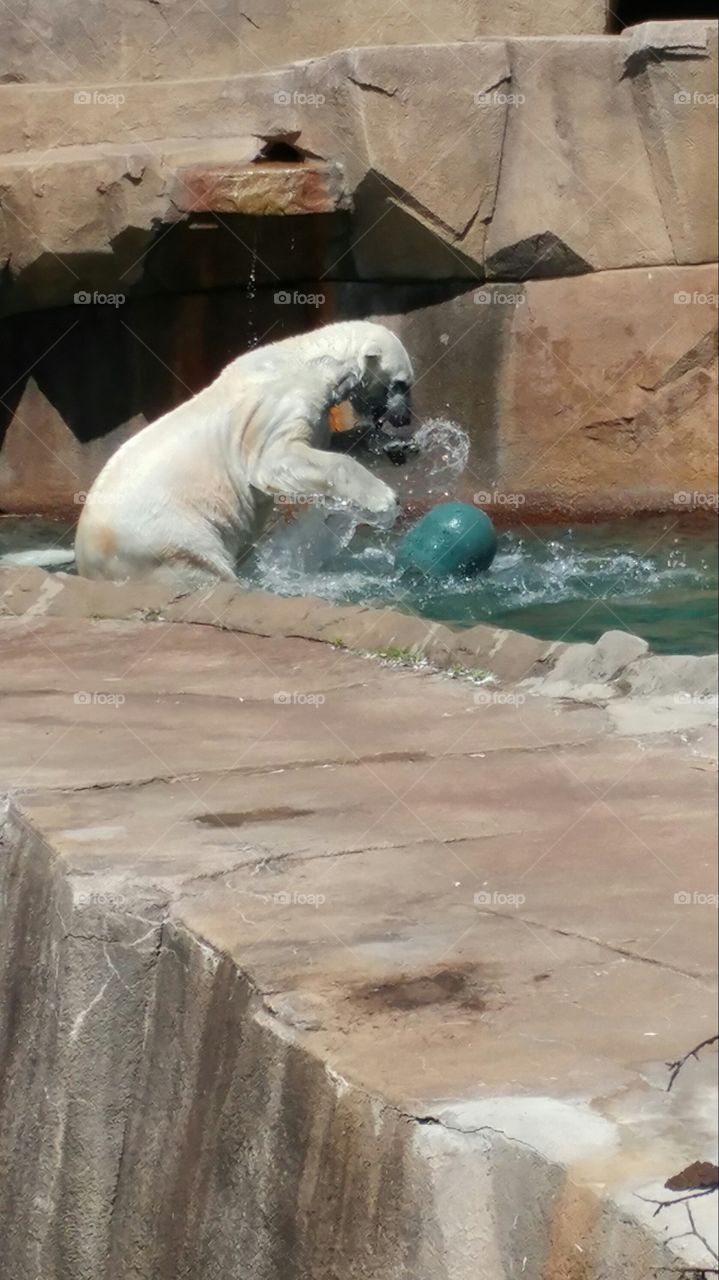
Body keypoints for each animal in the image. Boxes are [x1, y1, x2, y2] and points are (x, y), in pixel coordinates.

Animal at [74, 320, 414, 591]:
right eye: (402, 384)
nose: (405, 419)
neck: (302, 358)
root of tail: (87, 562)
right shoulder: (279, 404)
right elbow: (277, 460)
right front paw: (385, 498)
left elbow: (326, 443)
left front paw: (397, 447)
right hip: (164, 537)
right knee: (202, 566)